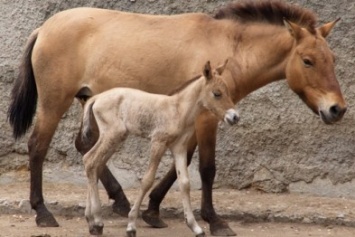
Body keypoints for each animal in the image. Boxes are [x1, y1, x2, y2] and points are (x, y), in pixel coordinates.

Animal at [81, 61, 241, 237]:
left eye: (228, 91)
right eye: (217, 93)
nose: (235, 117)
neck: (178, 110)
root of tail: (96, 98)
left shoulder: (179, 147)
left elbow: (184, 183)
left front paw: (195, 227)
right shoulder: (158, 142)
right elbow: (147, 180)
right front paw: (131, 226)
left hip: (115, 137)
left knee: (93, 163)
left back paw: (92, 222)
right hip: (112, 134)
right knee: (91, 161)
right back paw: (97, 220)